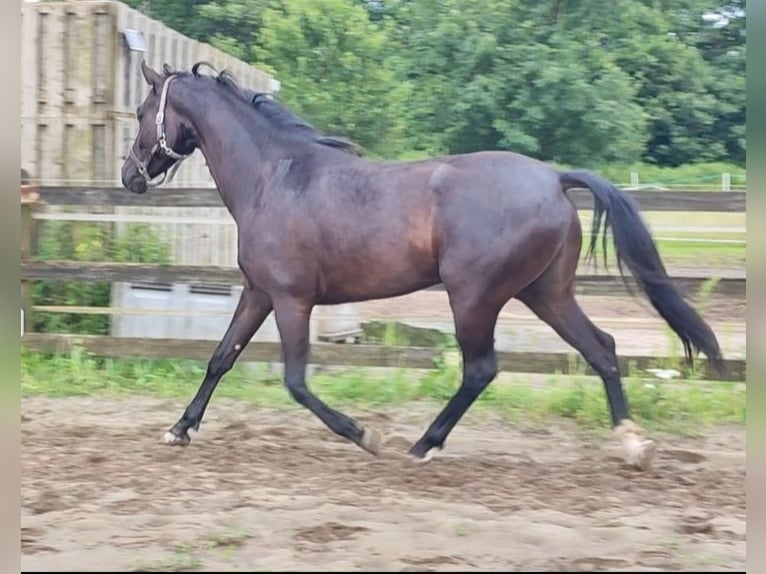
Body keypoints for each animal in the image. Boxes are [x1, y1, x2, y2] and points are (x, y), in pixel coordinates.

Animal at [120, 60, 728, 470]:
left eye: (143, 112)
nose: (130, 176)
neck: (275, 176)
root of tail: (555, 178)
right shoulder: (258, 292)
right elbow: (220, 358)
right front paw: (179, 429)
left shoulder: (292, 299)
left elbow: (295, 381)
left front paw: (364, 434)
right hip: (545, 293)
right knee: (601, 347)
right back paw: (632, 443)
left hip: (474, 296)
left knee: (482, 368)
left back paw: (422, 445)